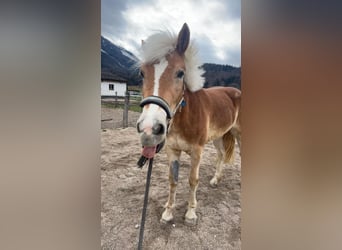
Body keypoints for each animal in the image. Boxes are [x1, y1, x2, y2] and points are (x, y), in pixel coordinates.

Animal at [136, 23, 240, 226]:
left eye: (180, 73)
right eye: (142, 73)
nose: (149, 129)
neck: (184, 116)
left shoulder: (197, 151)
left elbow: (193, 180)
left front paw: (191, 213)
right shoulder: (172, 150)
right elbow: (173, 180)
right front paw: (168, 212)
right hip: (219, 136)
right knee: (221, 154)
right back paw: (216, 179)